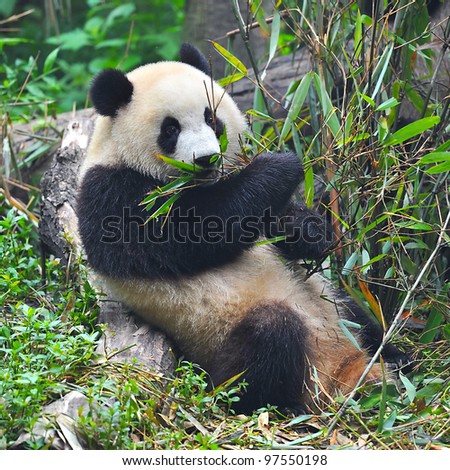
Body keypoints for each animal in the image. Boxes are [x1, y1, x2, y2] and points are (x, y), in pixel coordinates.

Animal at [76, 43, 408, 412]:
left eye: (211, 118)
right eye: (170, 129)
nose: (206, 159)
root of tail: (342, 367)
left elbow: (273, 227)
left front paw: (309, 229)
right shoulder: (110, 190)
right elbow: (188, 231)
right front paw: (279, 166)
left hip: (332, 301)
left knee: (359, 316)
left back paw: (397, 359)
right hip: (229, 340)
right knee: (267, 341)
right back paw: (273, 401)